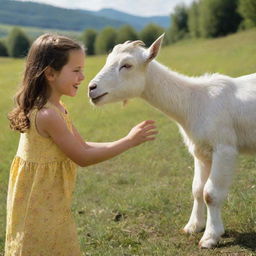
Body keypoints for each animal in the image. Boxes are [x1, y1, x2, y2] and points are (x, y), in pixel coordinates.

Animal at [88, 34, 256, 248]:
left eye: (127, 65)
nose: (91, 88)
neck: (194, 102)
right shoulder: (200, 151)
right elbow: (197, 189)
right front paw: (193, 226)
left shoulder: (224, 147)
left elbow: (211, 194)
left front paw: (210, 237)